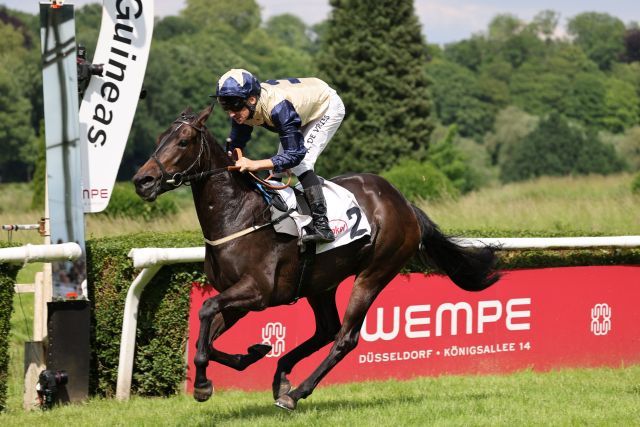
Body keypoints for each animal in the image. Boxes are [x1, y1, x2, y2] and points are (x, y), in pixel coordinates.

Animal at [131, 103, 500, 412]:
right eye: (159, 138)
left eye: (183, 141)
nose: (142, 180)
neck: (237, 215)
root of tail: (404, 203)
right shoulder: (237, 298)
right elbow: (204, 337)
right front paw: (252, 353)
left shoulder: (257, 292)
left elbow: (206, 311)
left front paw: (204, 386)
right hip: (321, 283)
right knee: (326, 329)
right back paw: (282, 376)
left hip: (374, 273)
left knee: (344, 338)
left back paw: (295, 393)